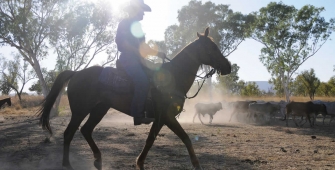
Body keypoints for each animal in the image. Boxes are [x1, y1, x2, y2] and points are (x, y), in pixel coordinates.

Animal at [37, 27, 231, 169]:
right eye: (212, 48)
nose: (228, 66)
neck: (173, 76)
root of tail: (76, 73)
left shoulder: (161, 118)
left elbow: (157, 139)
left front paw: (140, 162)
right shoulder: (165, 116)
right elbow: (178, 138)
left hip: (100, 109)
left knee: (85, 130)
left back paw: (98, 160)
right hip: (80, 110)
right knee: (69, 133)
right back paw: (67, 164)